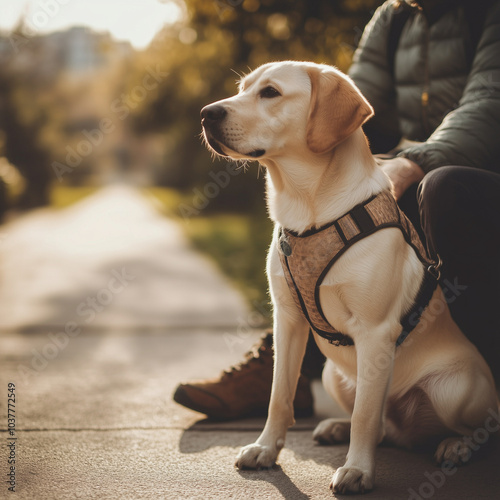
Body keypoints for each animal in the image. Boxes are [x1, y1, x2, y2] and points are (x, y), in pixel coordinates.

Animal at [200, 60, 500, 494]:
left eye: (270, 93)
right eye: (242, 89)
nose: (206, 114)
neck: (309, 209)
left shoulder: (375, 332)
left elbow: (365, 415)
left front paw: (358, 470)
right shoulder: (288, 320)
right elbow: (279, 396)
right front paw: (266, 449)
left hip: (453, 389)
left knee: (474, 427)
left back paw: (456, 445)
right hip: (335, 376)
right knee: (381, 425)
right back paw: (337, 427)